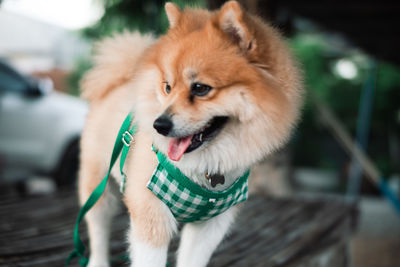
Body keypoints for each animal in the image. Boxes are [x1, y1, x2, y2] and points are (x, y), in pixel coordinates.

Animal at [78, 1, 304, 266]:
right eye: (167, 87)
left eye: (200, 88)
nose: (159, 125)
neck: (206, 169)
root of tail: (117, 83)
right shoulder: (151, 212)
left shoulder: (212, 223)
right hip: (98, 187)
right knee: (98, 229)